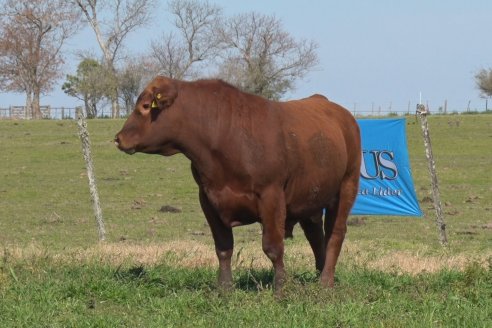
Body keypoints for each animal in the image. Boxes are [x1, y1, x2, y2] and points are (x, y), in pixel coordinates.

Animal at [115, 77, 362, 294]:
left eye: (145, 106)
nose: (118, 138)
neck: (225, 136)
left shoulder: (271, 196)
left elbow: (273, 247)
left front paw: (281, 290)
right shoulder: (208, 198)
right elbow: (223, 248)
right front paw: (224, 290)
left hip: (347, 186)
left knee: (335, 234)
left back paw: (326, 282)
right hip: (311, 196)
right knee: (315, 234)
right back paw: (320, 273)